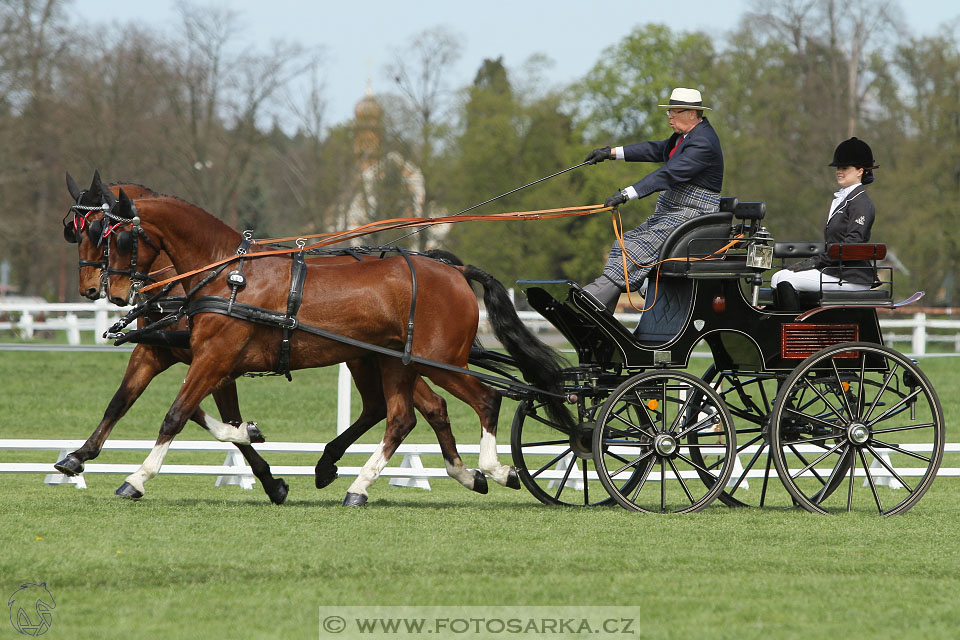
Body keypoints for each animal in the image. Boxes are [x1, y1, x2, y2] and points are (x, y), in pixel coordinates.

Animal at [101, 188, 568, 502]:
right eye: (92, 234)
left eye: (116, 238)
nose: (108, 292)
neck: (228, 274)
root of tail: (455, 271)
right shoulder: (200, 359)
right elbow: (170, 409)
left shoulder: (214, 358)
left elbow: (177, 414)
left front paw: (136, 478)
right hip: (396, 362)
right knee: (403, 416)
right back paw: (367, 482)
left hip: (436, 361)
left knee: (485, 400)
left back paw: (493, 468)